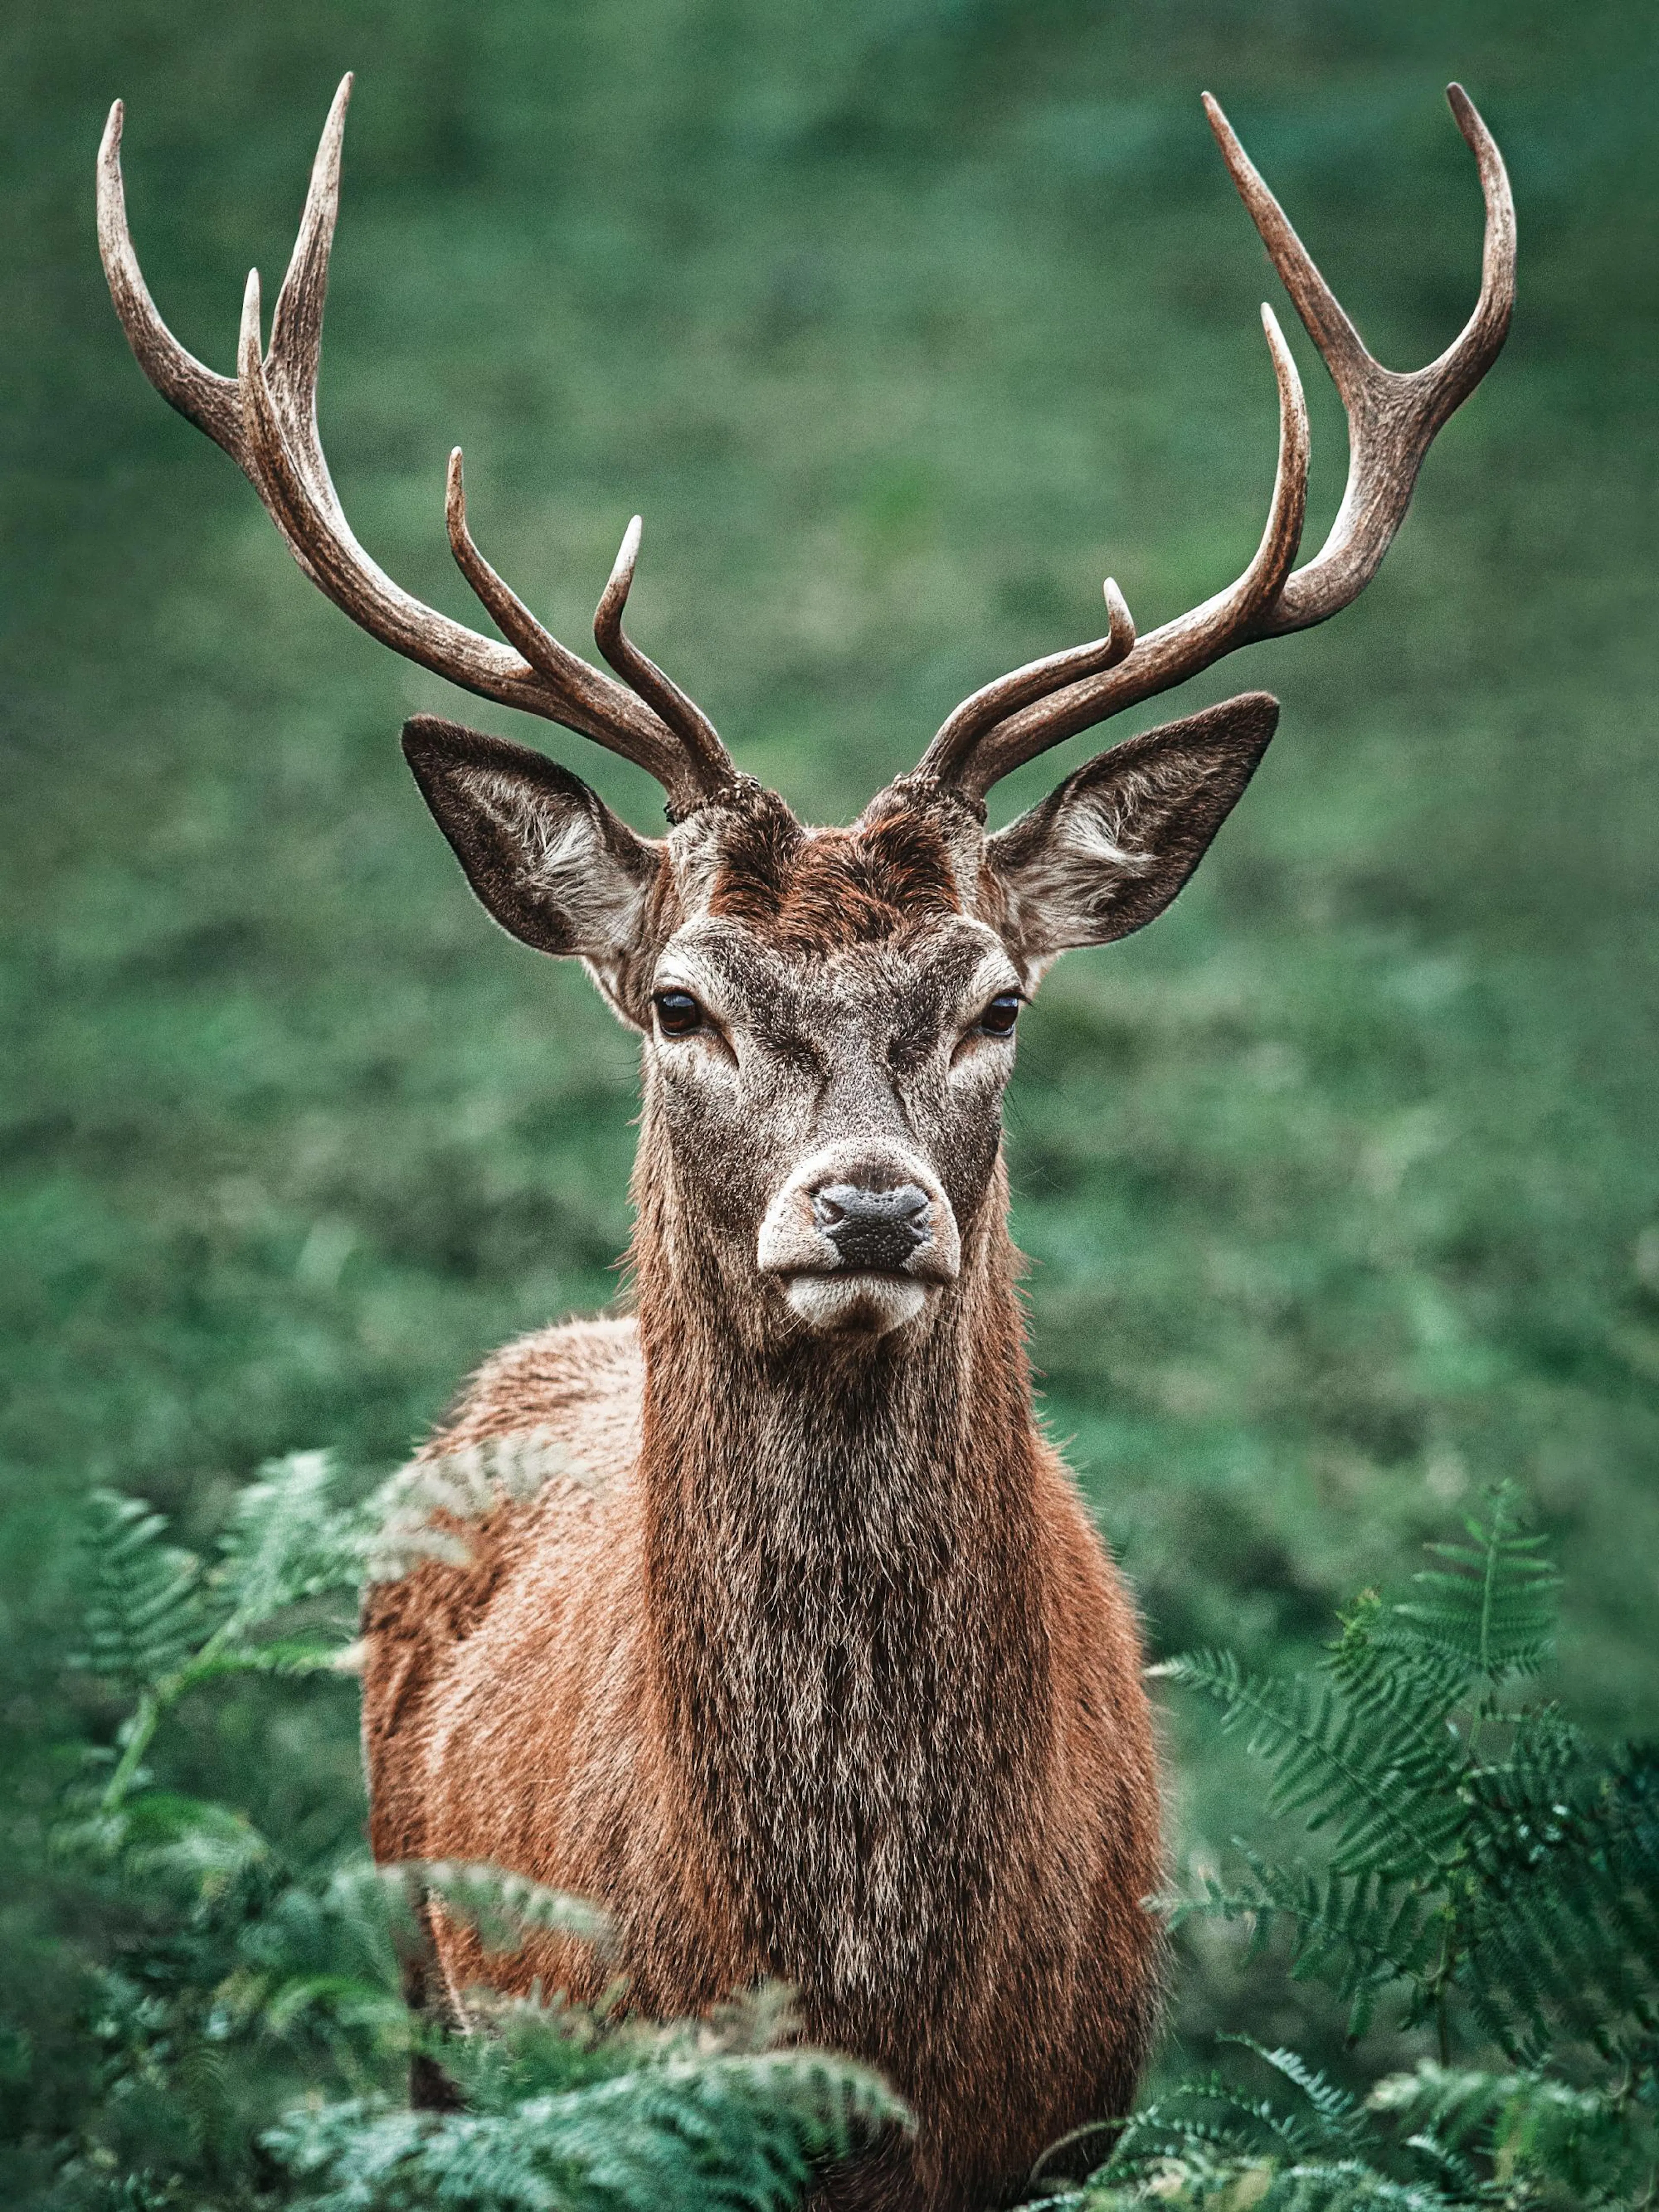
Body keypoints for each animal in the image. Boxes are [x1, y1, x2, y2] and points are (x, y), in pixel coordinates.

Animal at [98, 73, 1513, 2210]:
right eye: (681, 1000)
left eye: (1000, 999)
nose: (865, 1203)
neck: (852, 2004)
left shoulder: (1071, 2113)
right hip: (425, 1998)